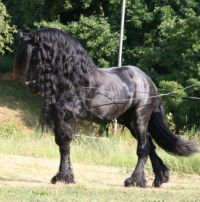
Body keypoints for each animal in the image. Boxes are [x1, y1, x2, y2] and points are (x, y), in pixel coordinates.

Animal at [13, 28, 198, 188]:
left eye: (35, 57)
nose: (31, 85)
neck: (74, 78)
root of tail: (148, 81)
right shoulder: (60, 118)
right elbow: (63, 144)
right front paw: (65, 176)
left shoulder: (67, 114)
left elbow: (65, 142)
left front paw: (64, 176)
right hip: (129, 122)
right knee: (150, 147)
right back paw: (159, 178)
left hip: (140, 119)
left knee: (143, 148)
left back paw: (134, 181)